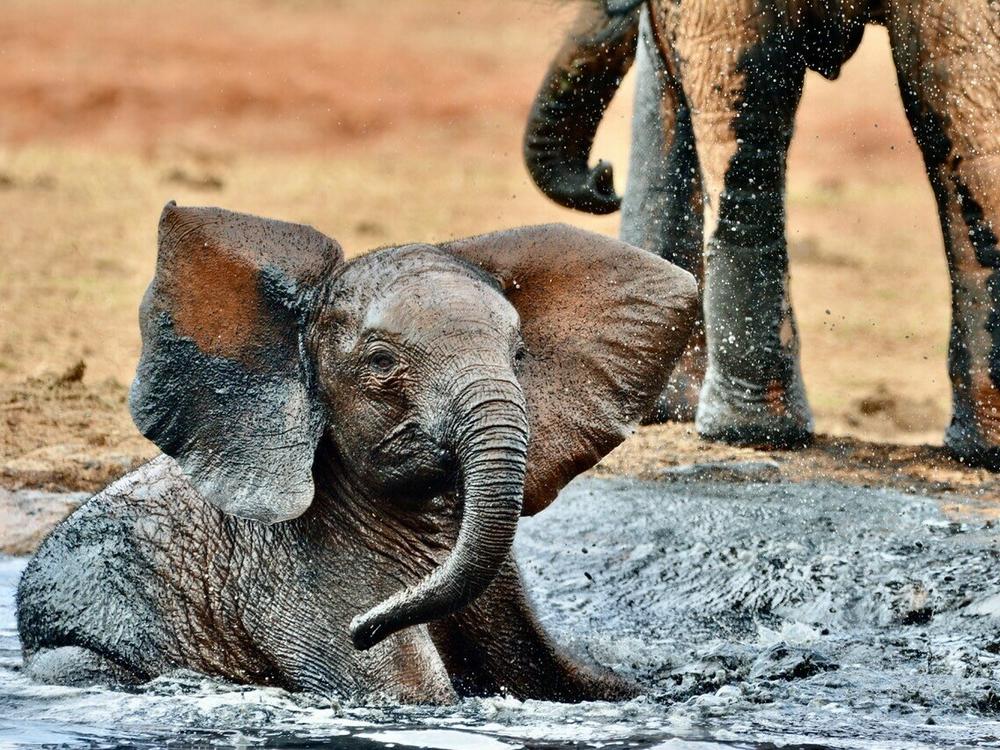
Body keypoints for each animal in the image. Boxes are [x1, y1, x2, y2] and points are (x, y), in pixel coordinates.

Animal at [19, 203, 700, 704]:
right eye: (379, 362)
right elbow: (412, 696)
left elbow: (570, 676)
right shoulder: (296, 575)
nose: (366, 627)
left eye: (518, 354)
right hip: (68, 653)